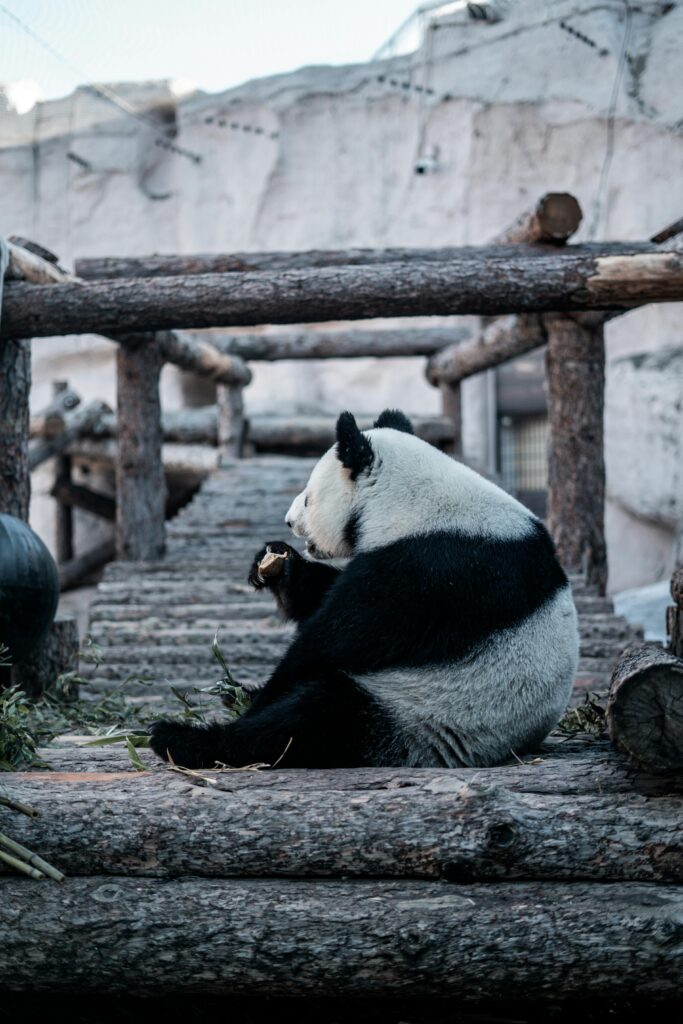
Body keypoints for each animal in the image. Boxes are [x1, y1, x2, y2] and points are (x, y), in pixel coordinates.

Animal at [149, 407, 577, 770]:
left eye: (308, 498)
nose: (289, 521)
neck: (415, 501)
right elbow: (324, 596)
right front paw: (276, 566)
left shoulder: (431, 571)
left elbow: (337, 640)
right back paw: (233, 694)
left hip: (423, 713)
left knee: (316, 716)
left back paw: (185, 739)